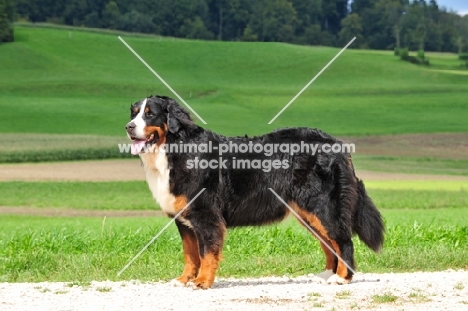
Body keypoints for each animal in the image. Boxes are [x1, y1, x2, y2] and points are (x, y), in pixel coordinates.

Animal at [125, 94, 384, 290]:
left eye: (149, 113)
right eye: (133, 113)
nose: (128, 127)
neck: (174, 148)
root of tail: (338, 145)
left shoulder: (205, 214)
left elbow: (207, 252)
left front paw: (202, 282)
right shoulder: (184, 218)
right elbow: (190, 254)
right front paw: (184, 280)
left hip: (322, 206)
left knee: (343, 241)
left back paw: (341, 278)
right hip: (307, 213)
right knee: (329, 242)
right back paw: (327, 274)